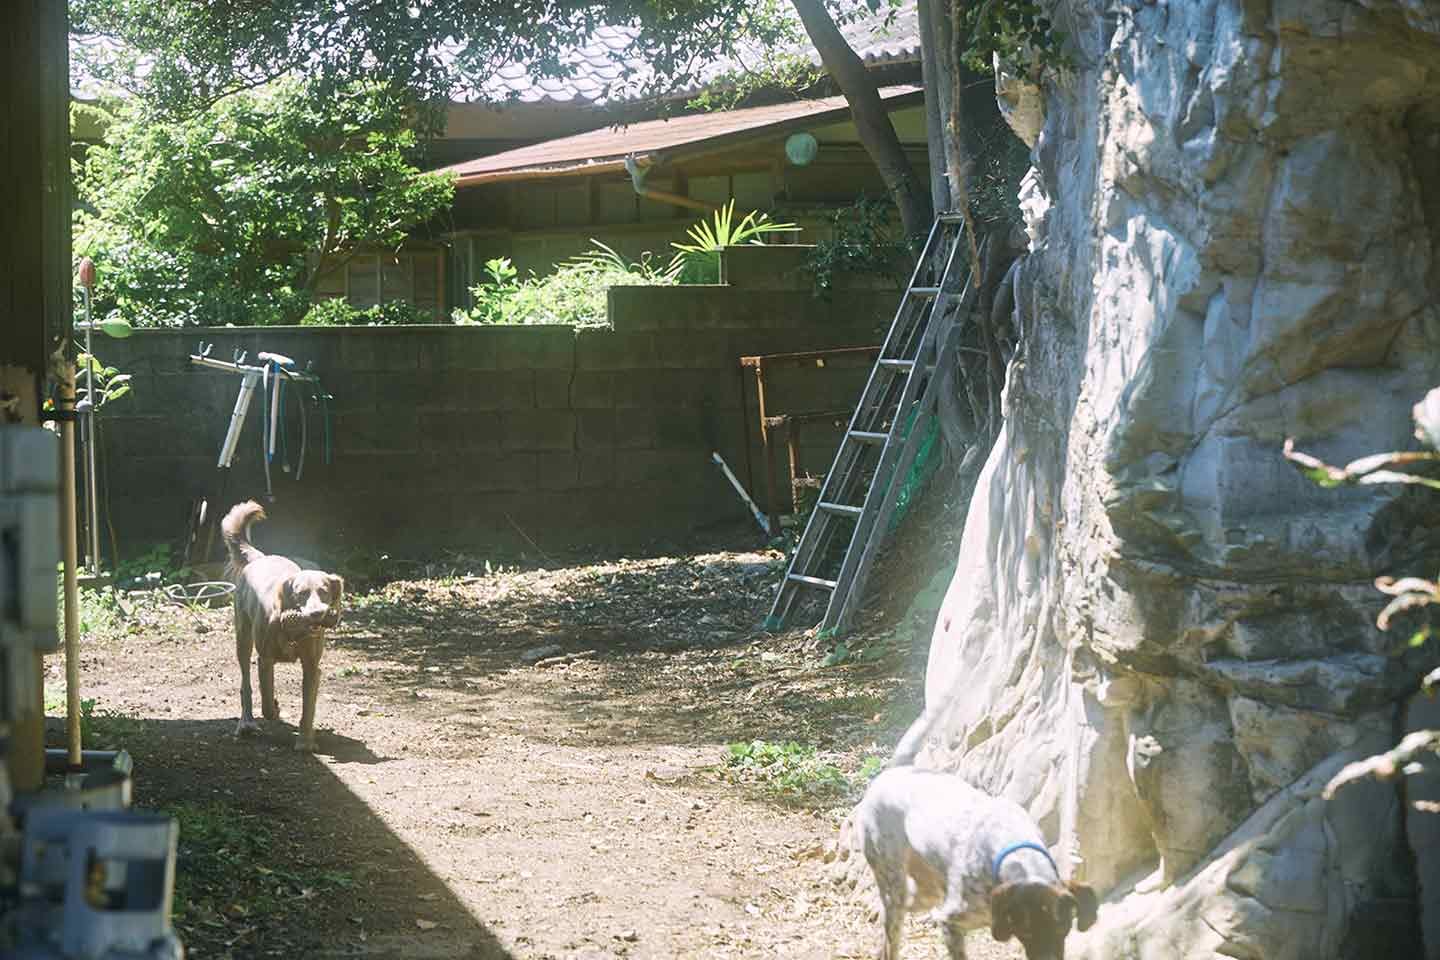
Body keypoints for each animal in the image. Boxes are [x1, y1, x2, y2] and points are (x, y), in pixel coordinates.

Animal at [218, 500, 342, 754]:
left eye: (324, 591)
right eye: (301, 593)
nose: (317, 614)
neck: (294, 630)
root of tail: (260, 558)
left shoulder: (312, 667)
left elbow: (308, 708)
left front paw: (305, 741)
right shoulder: (264, 659)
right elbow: (266, 702)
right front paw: (274, 710)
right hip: (243, 639)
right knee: (246, 685)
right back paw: (247, 723)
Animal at [852, 699, 1088, 960]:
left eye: (1063, 929)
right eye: (1026, 931)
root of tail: (893, 771)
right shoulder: (950, 922)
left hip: (923, 893)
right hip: (895, 886)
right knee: (890, 938)